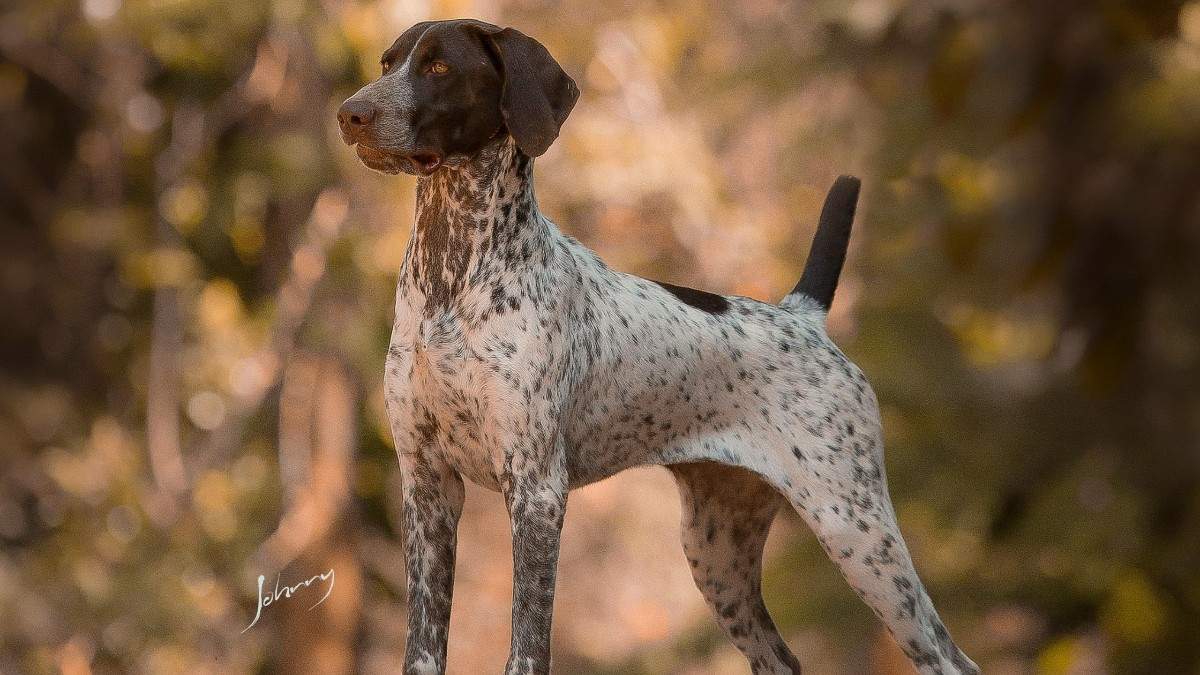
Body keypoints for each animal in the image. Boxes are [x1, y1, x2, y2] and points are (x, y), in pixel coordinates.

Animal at [336, 18, 974, 667]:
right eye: (387, 63)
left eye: (439, 68)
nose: (350, 113)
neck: (453, 276)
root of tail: (803, 315)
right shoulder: (427, 486)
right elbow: (423, 646)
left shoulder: (536, 491)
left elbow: (527, 646)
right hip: (717, 552)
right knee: (780, 658)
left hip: (855, 529)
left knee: (949, 658)